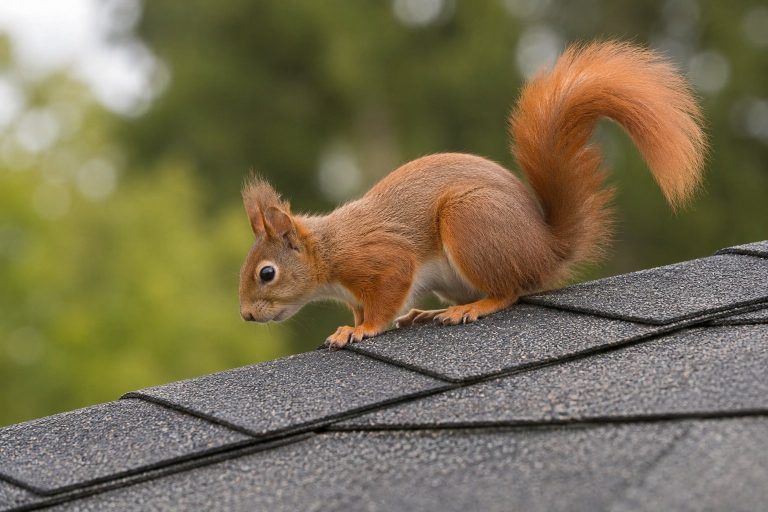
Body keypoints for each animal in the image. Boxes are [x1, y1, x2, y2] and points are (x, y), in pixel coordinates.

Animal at [238, 41, 707, 348]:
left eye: (267, 273)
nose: (245, 315)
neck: (328, 251)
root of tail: (546, 249)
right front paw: (348, 327)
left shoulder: (381, 258)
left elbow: (385, 297)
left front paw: (364, 329)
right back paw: (429, 312)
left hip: (471, 222)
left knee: (510, 291)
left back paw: (474, 308)